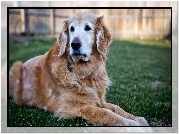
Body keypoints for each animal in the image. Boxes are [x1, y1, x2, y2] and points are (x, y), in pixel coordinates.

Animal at [8, 11, 148, 125]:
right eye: (71, 29)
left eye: (88, 28)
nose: (74, 44)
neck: (85, 73)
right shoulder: (74, 108)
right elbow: (105, 113)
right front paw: (132, 124)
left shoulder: (99, 100)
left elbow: (116, 108)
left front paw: (136, 118)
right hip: (16, 66)